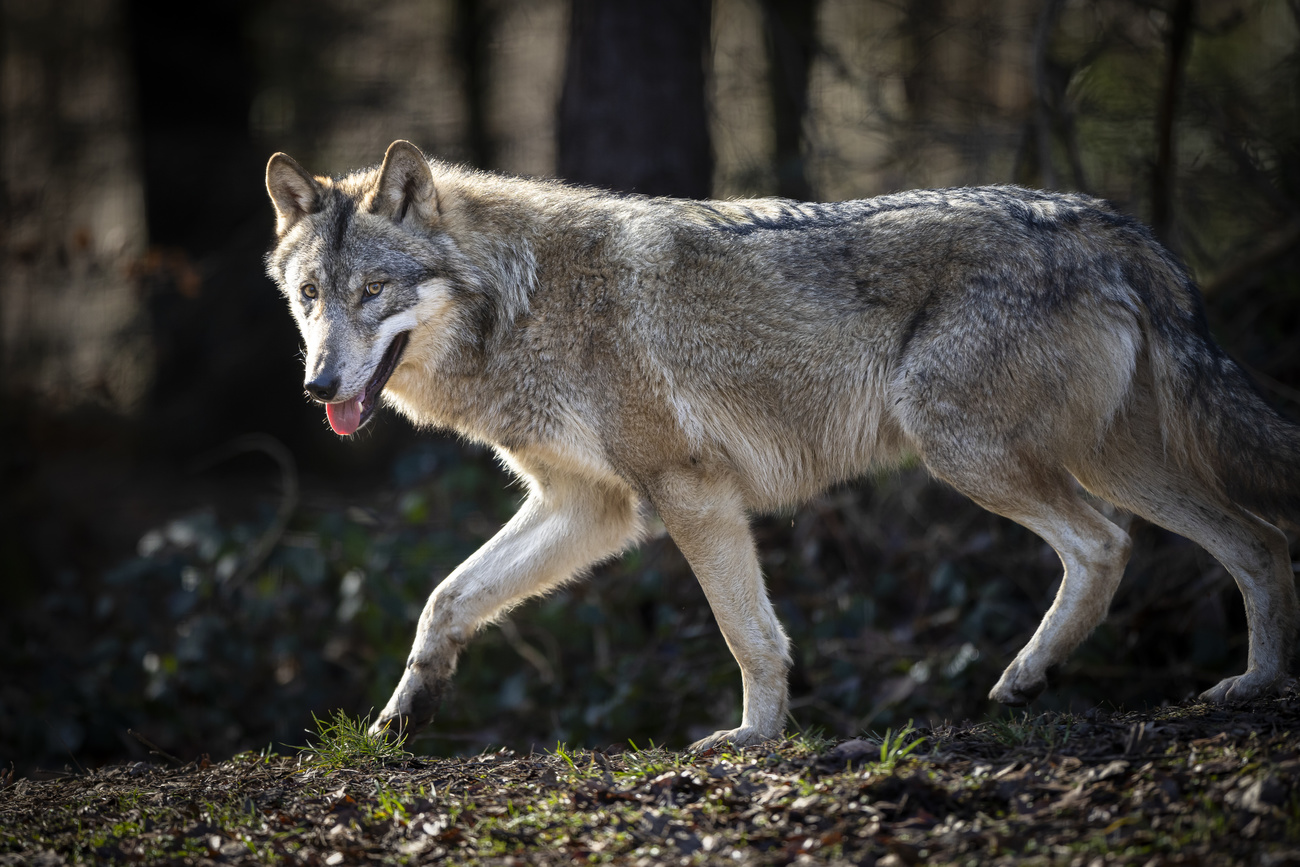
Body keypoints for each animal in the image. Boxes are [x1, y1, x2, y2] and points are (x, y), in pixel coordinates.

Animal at [263, 142, 1300, 753]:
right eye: (310, 296)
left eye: (372, 293)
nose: (318, 387)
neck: (522, 302)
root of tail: (1111, 223)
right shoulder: (592, 507)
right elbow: (447, 598)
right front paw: (403, 714)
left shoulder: (687, 492)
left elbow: (750, 634)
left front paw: (754, 740)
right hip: (1111, 459)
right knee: (1257, 541)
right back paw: (1254, 682)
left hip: (969, 452)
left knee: (1108, 543)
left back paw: (1028, 674)